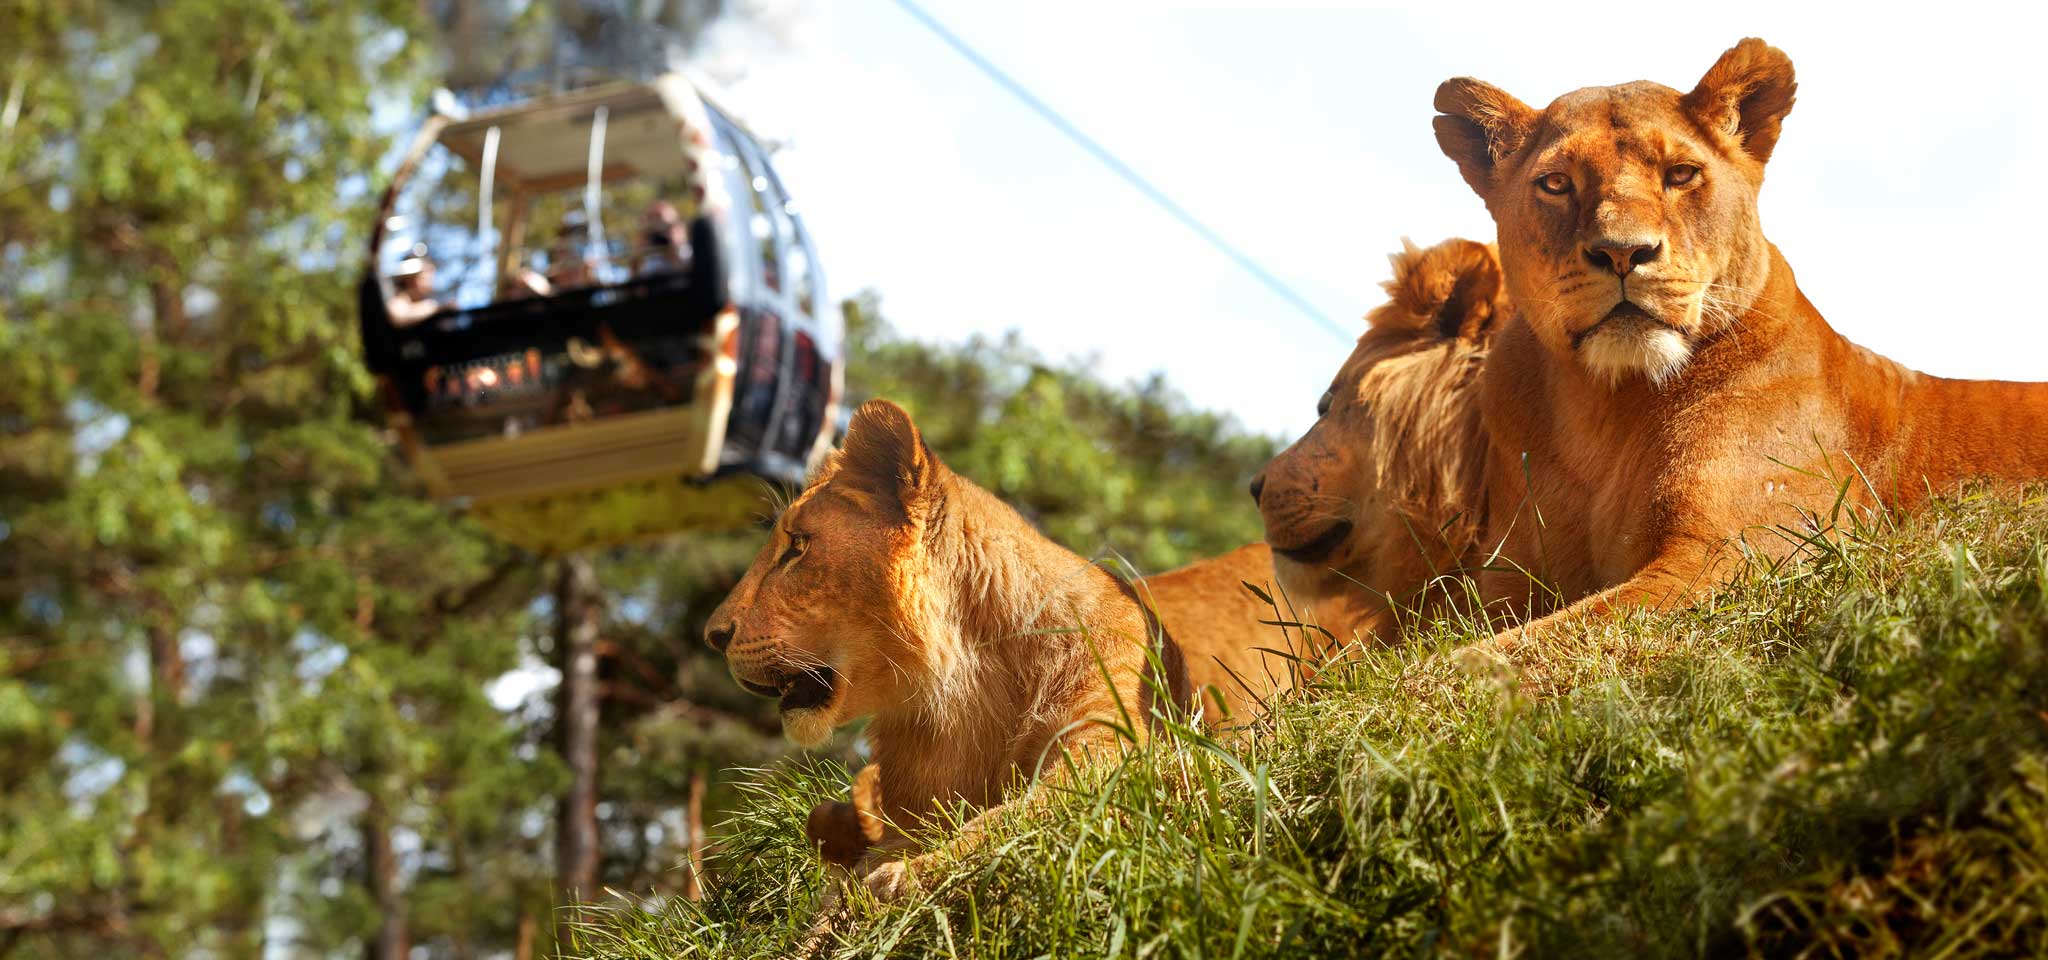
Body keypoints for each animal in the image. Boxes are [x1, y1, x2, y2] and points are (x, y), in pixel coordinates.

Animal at [712, 401, 1196, 892]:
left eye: (797, 545)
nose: (714, 635)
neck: (976, 683)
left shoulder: (1116, 747)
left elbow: (1012, 818)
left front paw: (904, 874)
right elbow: (833, 823)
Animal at [1425, 37, 2048, 650]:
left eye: (1680, 174)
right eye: (1556, 184)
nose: (1623, 252)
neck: (1603, 409)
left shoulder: (1739, 555)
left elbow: (1526, 646)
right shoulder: (1501, 579)